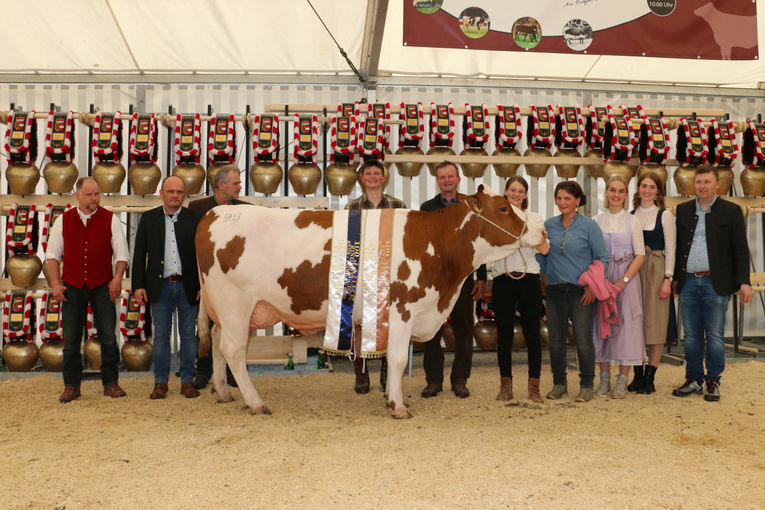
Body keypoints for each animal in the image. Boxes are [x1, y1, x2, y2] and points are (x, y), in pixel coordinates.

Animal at [197, 185, 544, 416]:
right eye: (504, 208)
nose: (541, 231)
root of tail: (217, 212)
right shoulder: (403, 307)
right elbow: (400, 359)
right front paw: (399, 406)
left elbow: (391, 358)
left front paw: (391, 396)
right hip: (235, 303)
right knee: (232, 349)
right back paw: (255, 402)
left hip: (227, 308)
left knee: (216, 340)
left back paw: (224, 392)